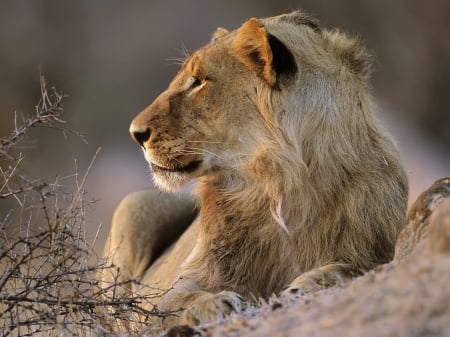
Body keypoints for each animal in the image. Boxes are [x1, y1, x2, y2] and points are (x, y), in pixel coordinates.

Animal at [101, 11, 408, 328]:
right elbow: (177, 302)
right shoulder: (182, 285)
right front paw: (215, 303)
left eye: (199, 82)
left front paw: (310, 282)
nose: (135, 133)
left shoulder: (378, 248)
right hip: (135, 203)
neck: (279, 184)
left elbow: (355, 266)